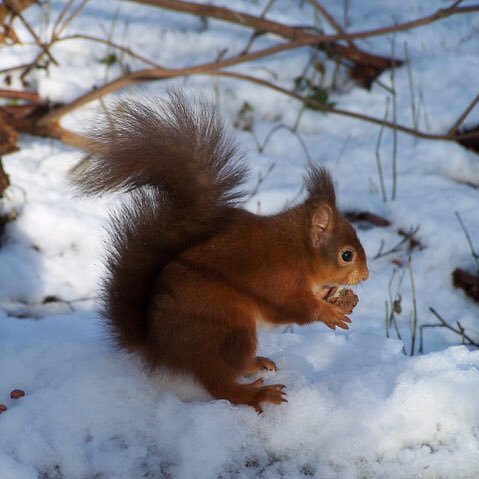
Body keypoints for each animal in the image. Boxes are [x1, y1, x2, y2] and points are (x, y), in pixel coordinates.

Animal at [71, 91, 370, 412]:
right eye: (347, 255)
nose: (366, 275)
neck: (299, 250)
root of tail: (161, 350)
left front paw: (333, 297)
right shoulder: (278, 280)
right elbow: (291, 307)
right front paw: (329, 313)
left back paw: (257, 364)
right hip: (229, 328)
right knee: (218, 385)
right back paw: (255, 394)